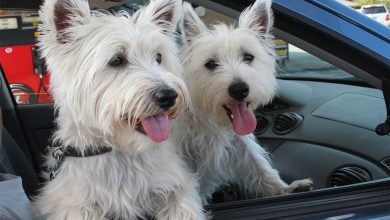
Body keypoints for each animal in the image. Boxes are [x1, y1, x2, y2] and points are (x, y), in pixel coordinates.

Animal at [32, 0, 206, 220]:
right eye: (116, 60)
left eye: (158, 57)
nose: (169, 96)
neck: (121, 153)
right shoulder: (69, 203)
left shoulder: (178, 183)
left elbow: (183, 206)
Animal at [174, 0, 314, 204]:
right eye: (210, 63)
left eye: (248, 57)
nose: (239, 90)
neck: (210, 120)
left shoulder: (238, 143)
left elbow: (258, 165)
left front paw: (285, 189)